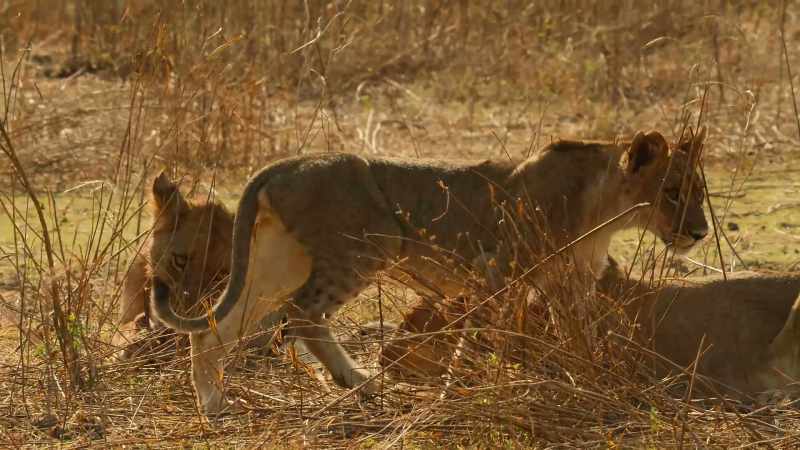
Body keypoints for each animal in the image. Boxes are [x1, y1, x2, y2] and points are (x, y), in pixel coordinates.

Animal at [148, 127, 708, 414]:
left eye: (698, 191)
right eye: (672, 192)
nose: (701, 232)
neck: (605, 210)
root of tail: (285, 163)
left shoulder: (570, 285)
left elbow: (586, 340)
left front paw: (605, 386)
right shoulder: (494, 272)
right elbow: (476, 342)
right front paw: (457, 394)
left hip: (279, 260)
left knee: (218, 326)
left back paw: (213, 402)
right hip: (367, 246)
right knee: (303, 315)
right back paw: (359, 382)